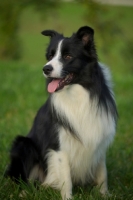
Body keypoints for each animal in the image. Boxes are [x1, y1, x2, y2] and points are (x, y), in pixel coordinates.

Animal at [6, 26, 118, 198]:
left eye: (67, 56)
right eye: (50, 56)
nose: (46, 69)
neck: (77, 94)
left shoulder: (98, 138)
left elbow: (102, 174)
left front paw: (104, 195)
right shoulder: (59, 145)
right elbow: (66, 178)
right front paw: (67, 197)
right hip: (24, 144)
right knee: (24, 179)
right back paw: (24, 193)